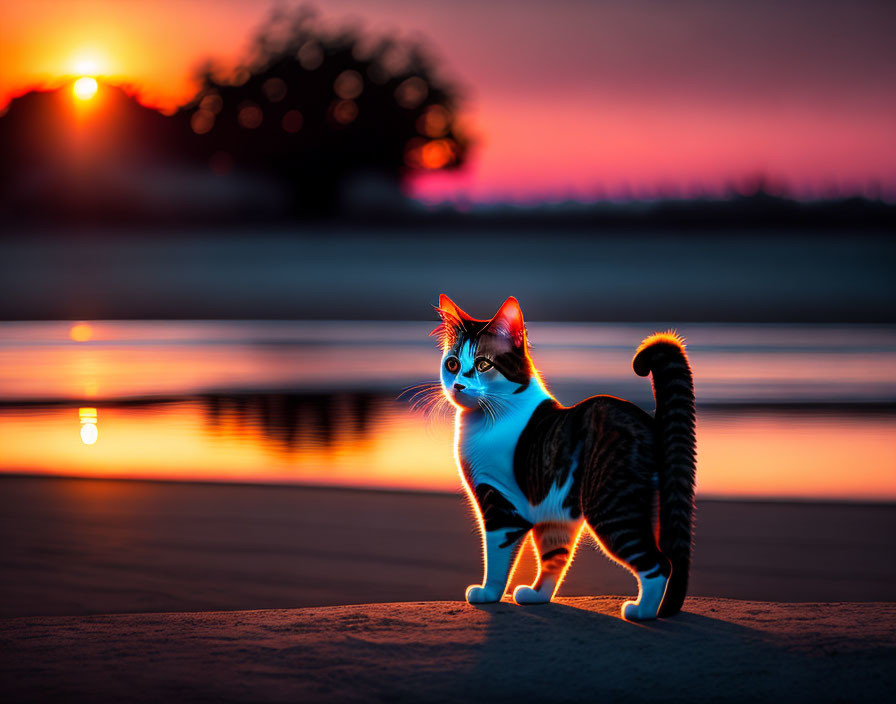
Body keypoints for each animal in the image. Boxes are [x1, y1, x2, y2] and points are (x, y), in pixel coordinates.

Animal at [430, 294, 696, 620]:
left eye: (483, 364)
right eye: (452, 364)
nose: (458, 385)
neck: (489, 417)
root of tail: (652, 422)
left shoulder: (502, 505)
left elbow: (496, 558)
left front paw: (488, 594)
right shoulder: (555, 516)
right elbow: (554, 557)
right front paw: (537, 595)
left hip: (611, 506)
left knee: (659, 564)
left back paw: (642, 611)